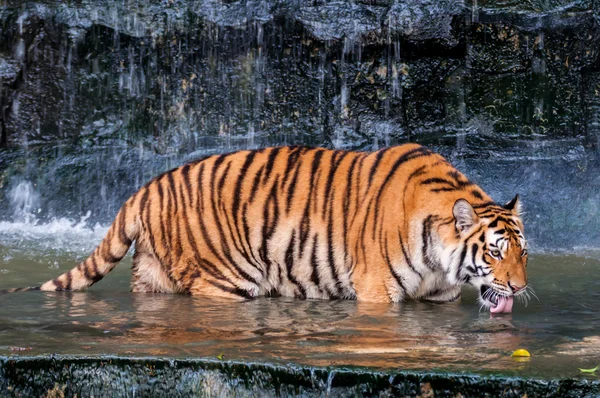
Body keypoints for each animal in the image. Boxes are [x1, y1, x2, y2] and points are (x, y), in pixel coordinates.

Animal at [4, 145, 528, 312]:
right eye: (495, 252)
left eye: (523, 253)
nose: (520, 288)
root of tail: (144, 189)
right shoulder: (378, 291)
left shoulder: (440, 296)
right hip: (227, 277)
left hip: (153, 274)